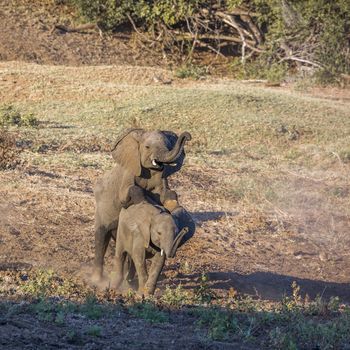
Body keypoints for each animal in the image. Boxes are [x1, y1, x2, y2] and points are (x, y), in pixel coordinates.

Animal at [93, 129, 191, 282]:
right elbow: (128, 193)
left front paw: (170, 206)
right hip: (102, 208)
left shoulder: (162, 178)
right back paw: (97, 280)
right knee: (101, 238)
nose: (188, 136)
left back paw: (129, 280)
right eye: (147, 147)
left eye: (168, 146)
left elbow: (168, 195)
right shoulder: (129, 171)